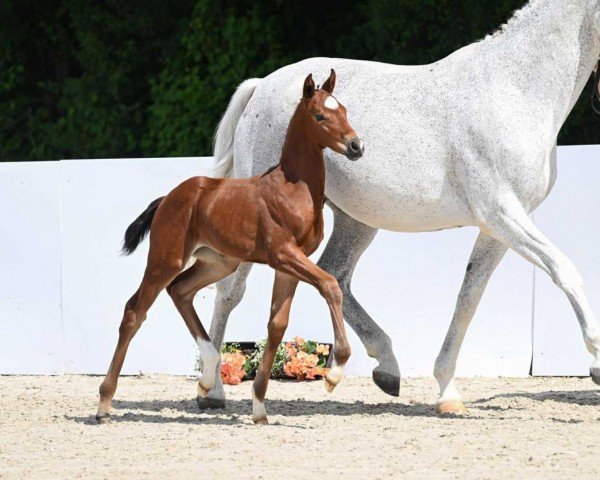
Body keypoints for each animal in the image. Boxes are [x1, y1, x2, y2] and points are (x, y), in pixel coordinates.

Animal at [96, 70, 364, 424]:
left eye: (344, 110)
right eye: (320, 115)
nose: (357, 146)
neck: (292, 188)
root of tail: (167, 199)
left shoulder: (291, 263)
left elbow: (277, 325)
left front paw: (260, 407)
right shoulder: (283, 254)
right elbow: (330, 285)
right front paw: (334, 373)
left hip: (218, 262)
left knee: (180, 291)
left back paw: (208, 377)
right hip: (166, 259)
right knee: (134, 310)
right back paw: (103, 404)